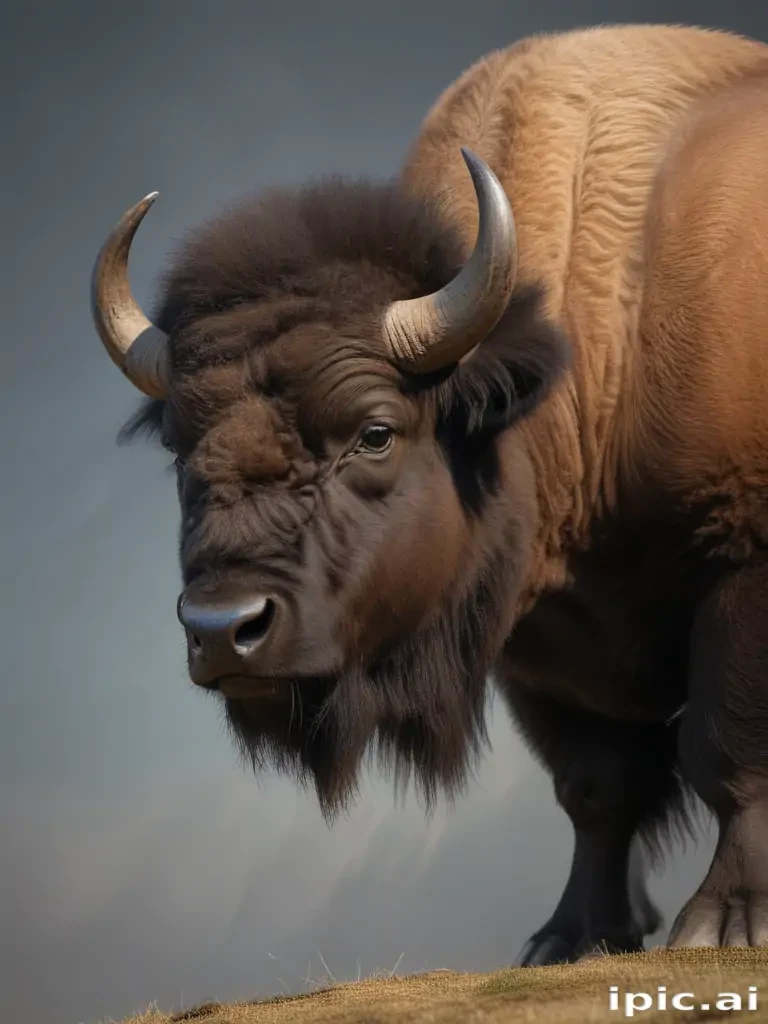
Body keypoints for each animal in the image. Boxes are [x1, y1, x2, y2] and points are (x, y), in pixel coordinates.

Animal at [91, 24, 768, 962]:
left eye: (375, 432)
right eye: (179, 446)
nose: (224, 629)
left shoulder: (743, 569)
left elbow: (726, 747)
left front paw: (723, 923)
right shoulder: (541, 646)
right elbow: (597, 786)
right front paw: (571, 939)